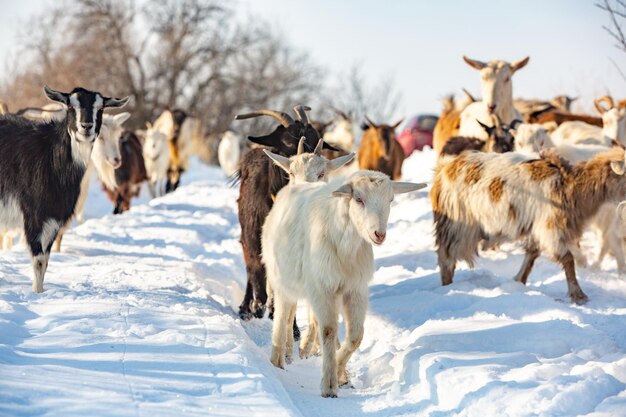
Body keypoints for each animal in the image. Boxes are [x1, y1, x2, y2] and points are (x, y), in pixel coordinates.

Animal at [260, 170, 422, 396]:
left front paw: (339, 370)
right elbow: (328, 330)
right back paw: (277, 359)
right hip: (282, 281)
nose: (379, 235)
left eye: (390, 199)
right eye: (359, 199)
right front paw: (329, 385)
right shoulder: (322, 288)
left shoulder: (355, 289)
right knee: (283, 317)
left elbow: (356, 336)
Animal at [432, 143, 626, 302]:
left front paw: (519, 281)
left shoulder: (536, 228)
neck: (571, 186)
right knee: (446, 258)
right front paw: (578, 295)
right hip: (457, 226)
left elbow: (531, 255)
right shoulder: (550, 228)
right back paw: (447, 286)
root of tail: (443, 169)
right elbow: (568, 259)